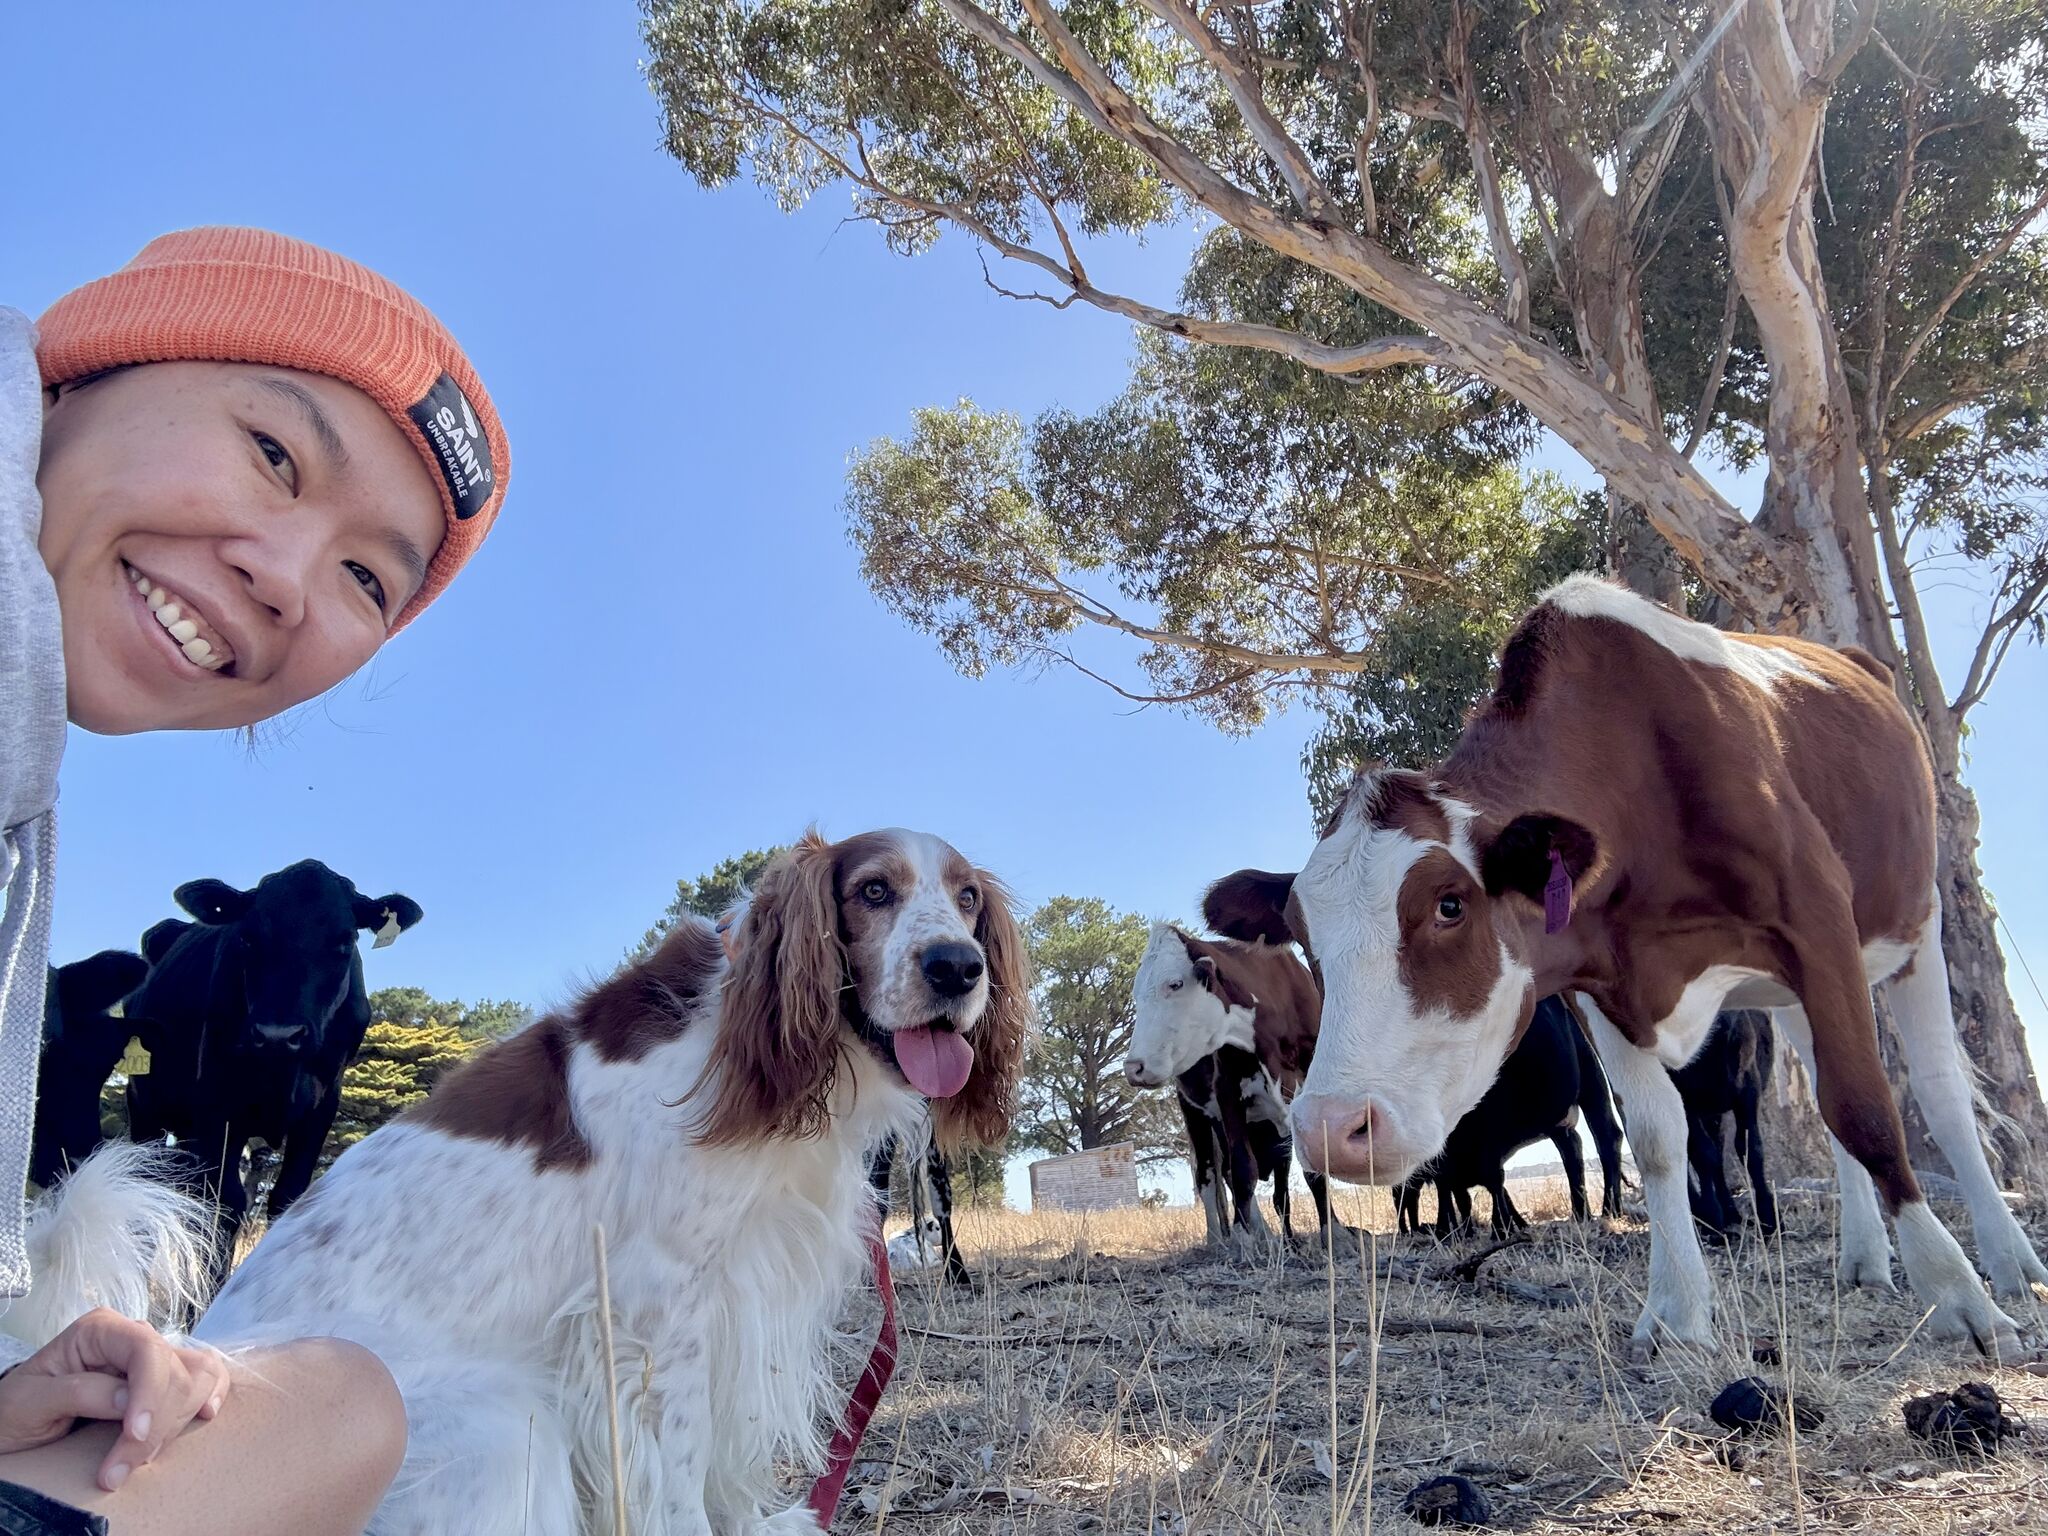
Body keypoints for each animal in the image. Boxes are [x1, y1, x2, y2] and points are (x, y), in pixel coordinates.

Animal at [123, 860, 421, 1279]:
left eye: (344, 942)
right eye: (247, 938)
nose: (278, 1035)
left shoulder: (322, 1107)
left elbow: (288, 1198)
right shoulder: (216, 1102)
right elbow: (224, 1202)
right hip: (144, 1106)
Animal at [1124, 923, 1344, 1250]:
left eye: (1175, 984)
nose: (1133, 1067)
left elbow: (1309, 1171)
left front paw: (1333, 1232)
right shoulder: (1227, 1094)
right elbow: (1242, 1169)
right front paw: (1244, 1237)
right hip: (1196, 1116)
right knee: (1209, 1177)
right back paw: (1221, 1239)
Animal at [1390, 995, 1624, 1237]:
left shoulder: (1491, 1125)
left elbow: (1492, 1178)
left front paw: (1501, 1226)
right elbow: (1453, 1188)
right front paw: (1451, 1229)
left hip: (1591, 1077)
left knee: (1606, 1137)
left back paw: (1610, 1208)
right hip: (1557, 1114)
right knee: (1572, 1149)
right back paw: (1581, 1213)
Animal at [1673, 1009, 1778, 1240]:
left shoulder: (1749, 1084)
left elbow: (1751, 1149)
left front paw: (1770, 1219)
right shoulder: (1684, 1098)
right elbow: (1703, 1155)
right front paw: (1713, 1220)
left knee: (1719, 1151)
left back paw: (1731, 1213)